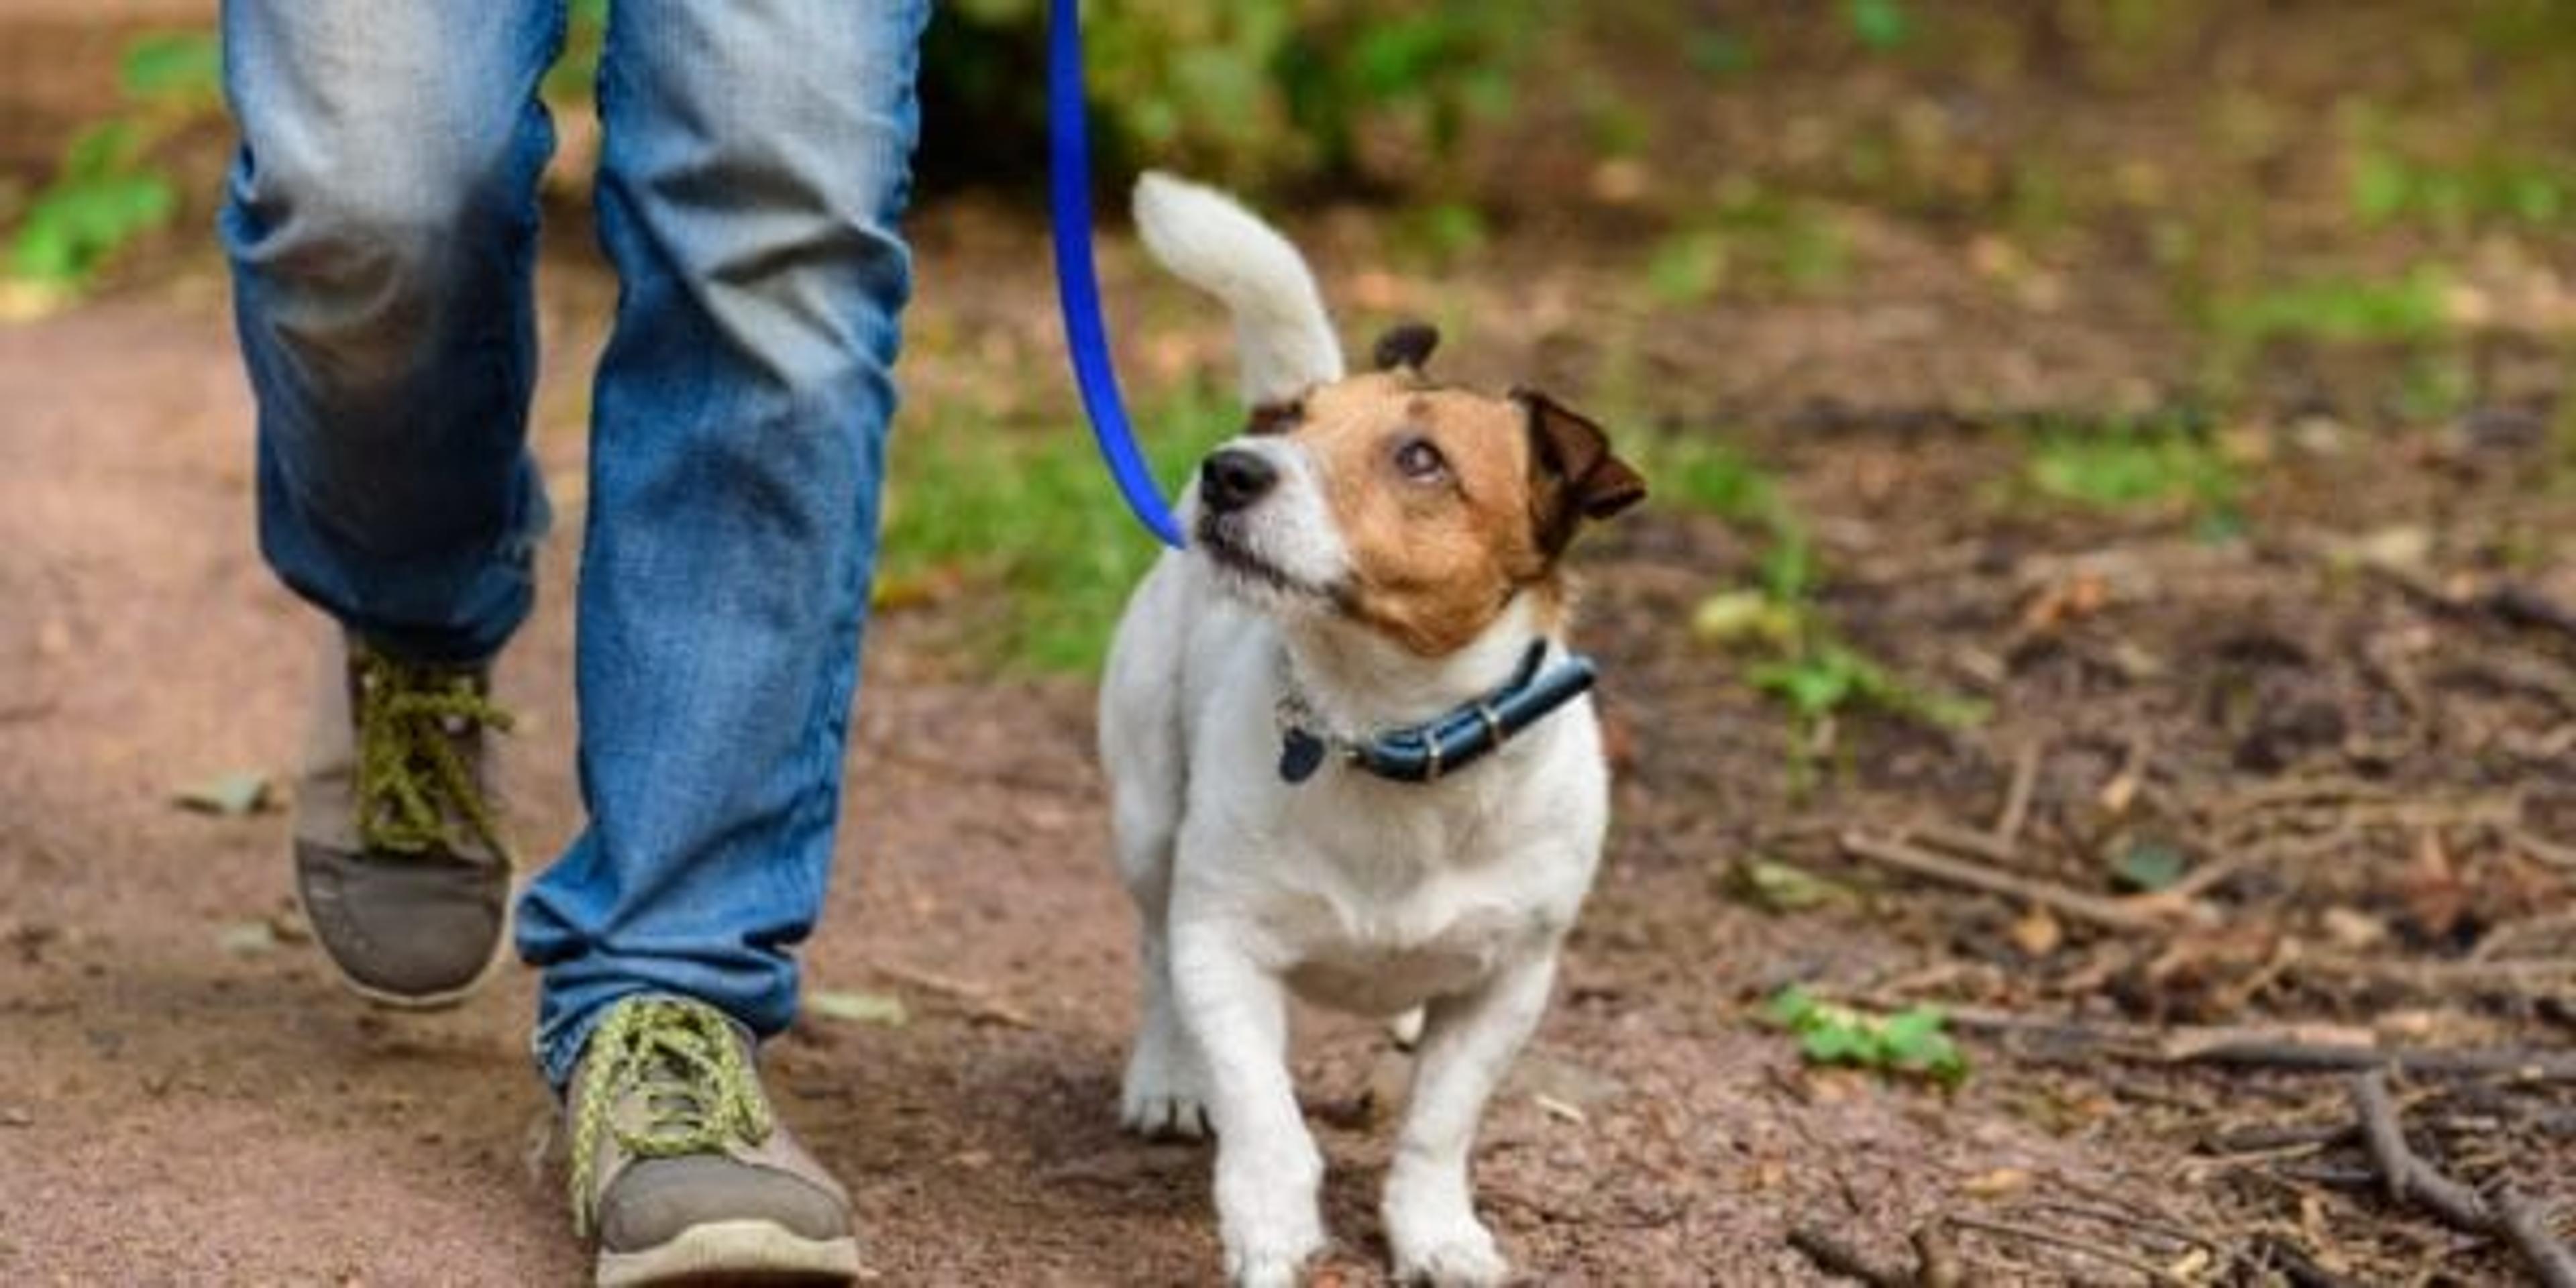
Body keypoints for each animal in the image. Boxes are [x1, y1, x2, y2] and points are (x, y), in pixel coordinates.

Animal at [1097, 174, 1638, 1288]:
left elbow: (1439, 1126)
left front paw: (1436, 1232)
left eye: (1421, 459)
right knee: (1155, 949)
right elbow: (1264, 1115)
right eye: (1296, 424)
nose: (1230, 468)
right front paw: (1270, 1227)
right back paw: (1168, 1073)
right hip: (1147, 819)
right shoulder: (1225, 945)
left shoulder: (1510, 985)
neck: (1387, 731)